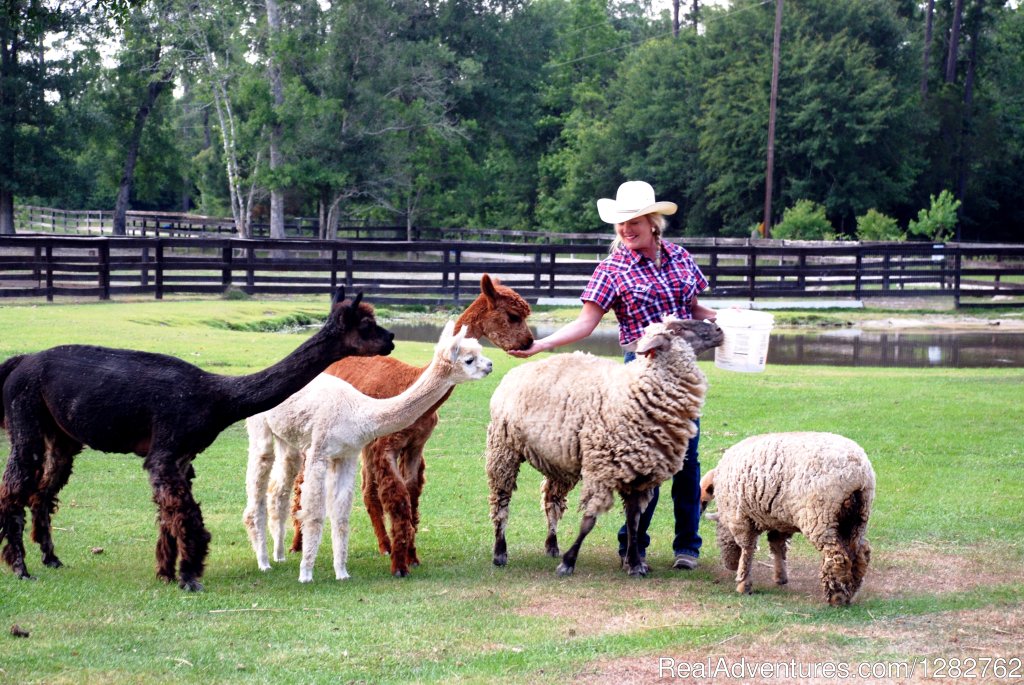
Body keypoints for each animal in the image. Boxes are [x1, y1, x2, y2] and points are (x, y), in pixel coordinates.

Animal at [243, 321, 491, 581]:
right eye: (469, 359)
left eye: (479, 352)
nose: (490, 365)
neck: (359, 410)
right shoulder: (319, 452)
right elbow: (314, 512)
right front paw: (306, 574)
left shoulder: (347, 454)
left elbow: (341, 513)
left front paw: (342, 572)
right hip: (261, 430)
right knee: (257, 487)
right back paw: (263, 561)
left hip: (288, 440)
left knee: (277, 492)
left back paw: (279, 554)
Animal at [485, 317, 720, 577]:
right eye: (679, 328)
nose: (719, 329)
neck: (636, 391)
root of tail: (518, 370)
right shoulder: (601, 470)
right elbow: (589, 521)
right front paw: (568, 562)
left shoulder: (638, 475)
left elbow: (633, 523)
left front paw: (635, 563)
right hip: (503, 449)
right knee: (501, 501)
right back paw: (500, 552)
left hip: (558, 462)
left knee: (551, 500)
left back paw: (552, 545)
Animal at [700, 432, 876, 602]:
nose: (729, 565)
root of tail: (857, 473)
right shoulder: (779, 520)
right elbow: (778, 546)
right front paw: (780, 577)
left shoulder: (740, 520)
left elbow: (747, 550)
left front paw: (744, 584)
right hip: (858, 518)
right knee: (861, 552)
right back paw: (852, 589)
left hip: (820, 518)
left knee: (837, 556)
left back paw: (837, 597)